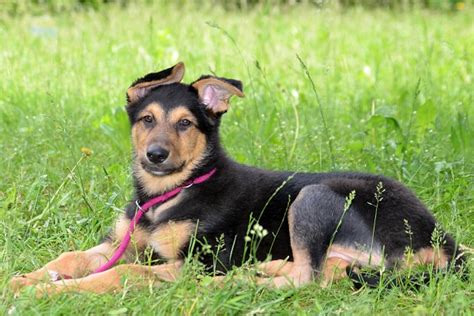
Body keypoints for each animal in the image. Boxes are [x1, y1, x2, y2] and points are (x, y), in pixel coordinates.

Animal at [9, 61, 464, 294]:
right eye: (146, 119)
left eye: (186, 124)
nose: (155, 155)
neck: (169, 193)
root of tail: (443, 240)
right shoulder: (119, 243)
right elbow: (71, 258)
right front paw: (28, 278)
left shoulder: (196, 260)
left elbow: (122, 273)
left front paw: (48, 291)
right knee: (328, 271)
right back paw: (265, 270)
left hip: (313, 197)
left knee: (311, 280)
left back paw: (240, 280)